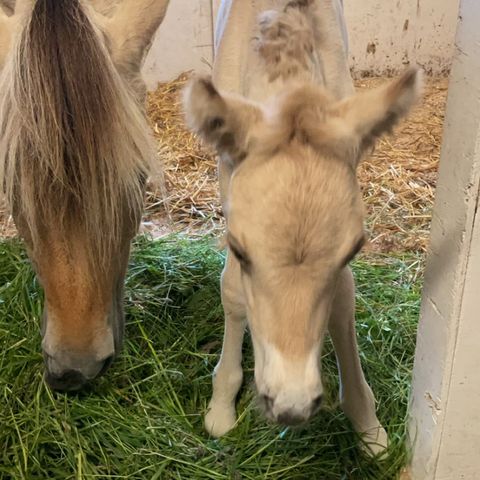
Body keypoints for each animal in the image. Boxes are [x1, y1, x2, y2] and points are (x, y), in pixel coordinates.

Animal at [186, 0, 422, 456]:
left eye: (354, 249)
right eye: (239, 249)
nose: (290, 405)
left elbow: (343, 300)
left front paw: (368, 427)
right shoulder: (229, 178)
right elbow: (232, 289)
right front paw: (222, 404)